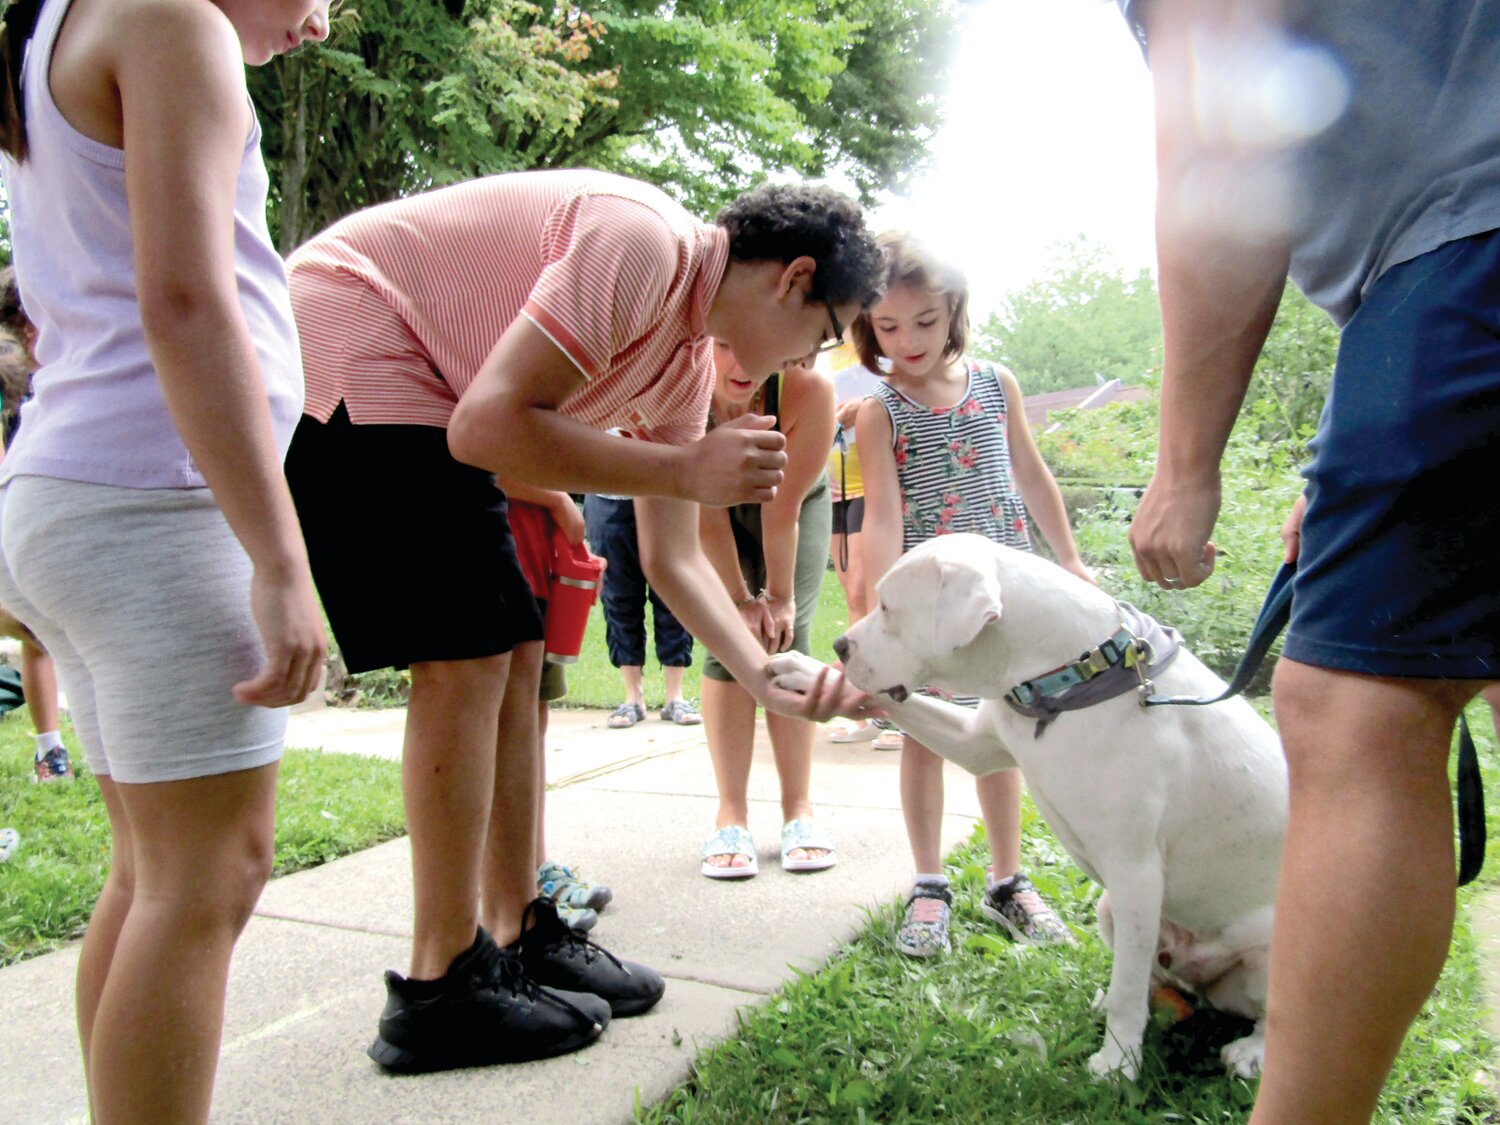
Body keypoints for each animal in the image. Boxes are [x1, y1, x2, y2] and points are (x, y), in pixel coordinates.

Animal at [774, 537, 1290, 1086]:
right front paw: (800, 670)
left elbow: (1130, 992)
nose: (840, 646)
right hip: (1114, 910)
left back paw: (1249, 1051)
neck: (1068, 674)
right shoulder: (977, 744)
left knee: (1259, 1012)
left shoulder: (1136, 874)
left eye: (889, 607)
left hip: (1255, 942)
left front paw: (1117, 1065)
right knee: (1145, 973)